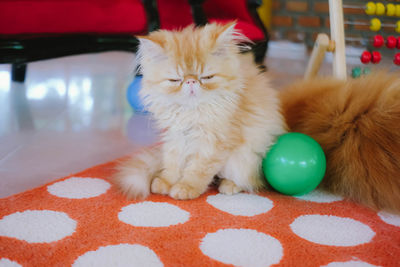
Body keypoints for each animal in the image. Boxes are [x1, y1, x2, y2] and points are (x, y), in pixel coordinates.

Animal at [114, 23, 286, 200]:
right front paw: (166, 183)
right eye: (175, 80)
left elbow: (198, 170)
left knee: (248, 180)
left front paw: (185, 188)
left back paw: (229, 185)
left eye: (207, 77)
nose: (190, 81)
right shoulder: (175, 138)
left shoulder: (214, 143)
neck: (191, 112)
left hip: (246, 159)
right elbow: (172, 164)